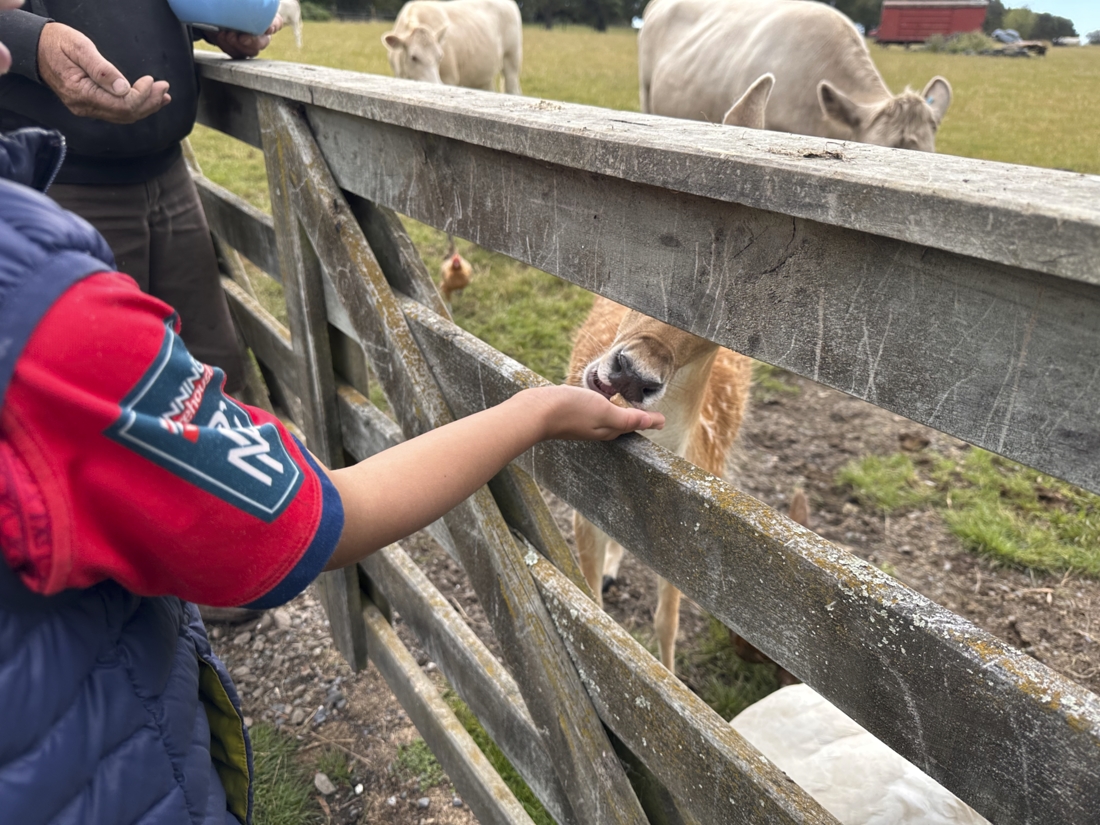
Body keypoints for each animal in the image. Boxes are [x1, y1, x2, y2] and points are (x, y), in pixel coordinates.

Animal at [382, 0, 522, 94]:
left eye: (440, 57)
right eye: (413, 57)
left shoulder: (450, 78)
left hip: (512, 59)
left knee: (512, 87)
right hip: (483, 73)